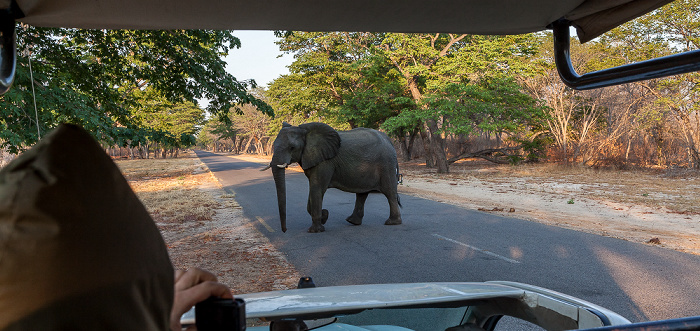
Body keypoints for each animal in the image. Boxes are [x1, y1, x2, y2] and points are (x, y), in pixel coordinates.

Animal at [264, 122, 404, 233]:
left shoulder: (325, 162)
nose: (285, 230)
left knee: (389, 192)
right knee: (362, 194)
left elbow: (317, 188)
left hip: (386, 164)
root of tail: (389, 140)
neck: (304, 130)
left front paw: (316, 230)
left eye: (292, 147)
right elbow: (313, 191)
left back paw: (392, 223)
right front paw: (324, 216)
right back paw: (353, 221)